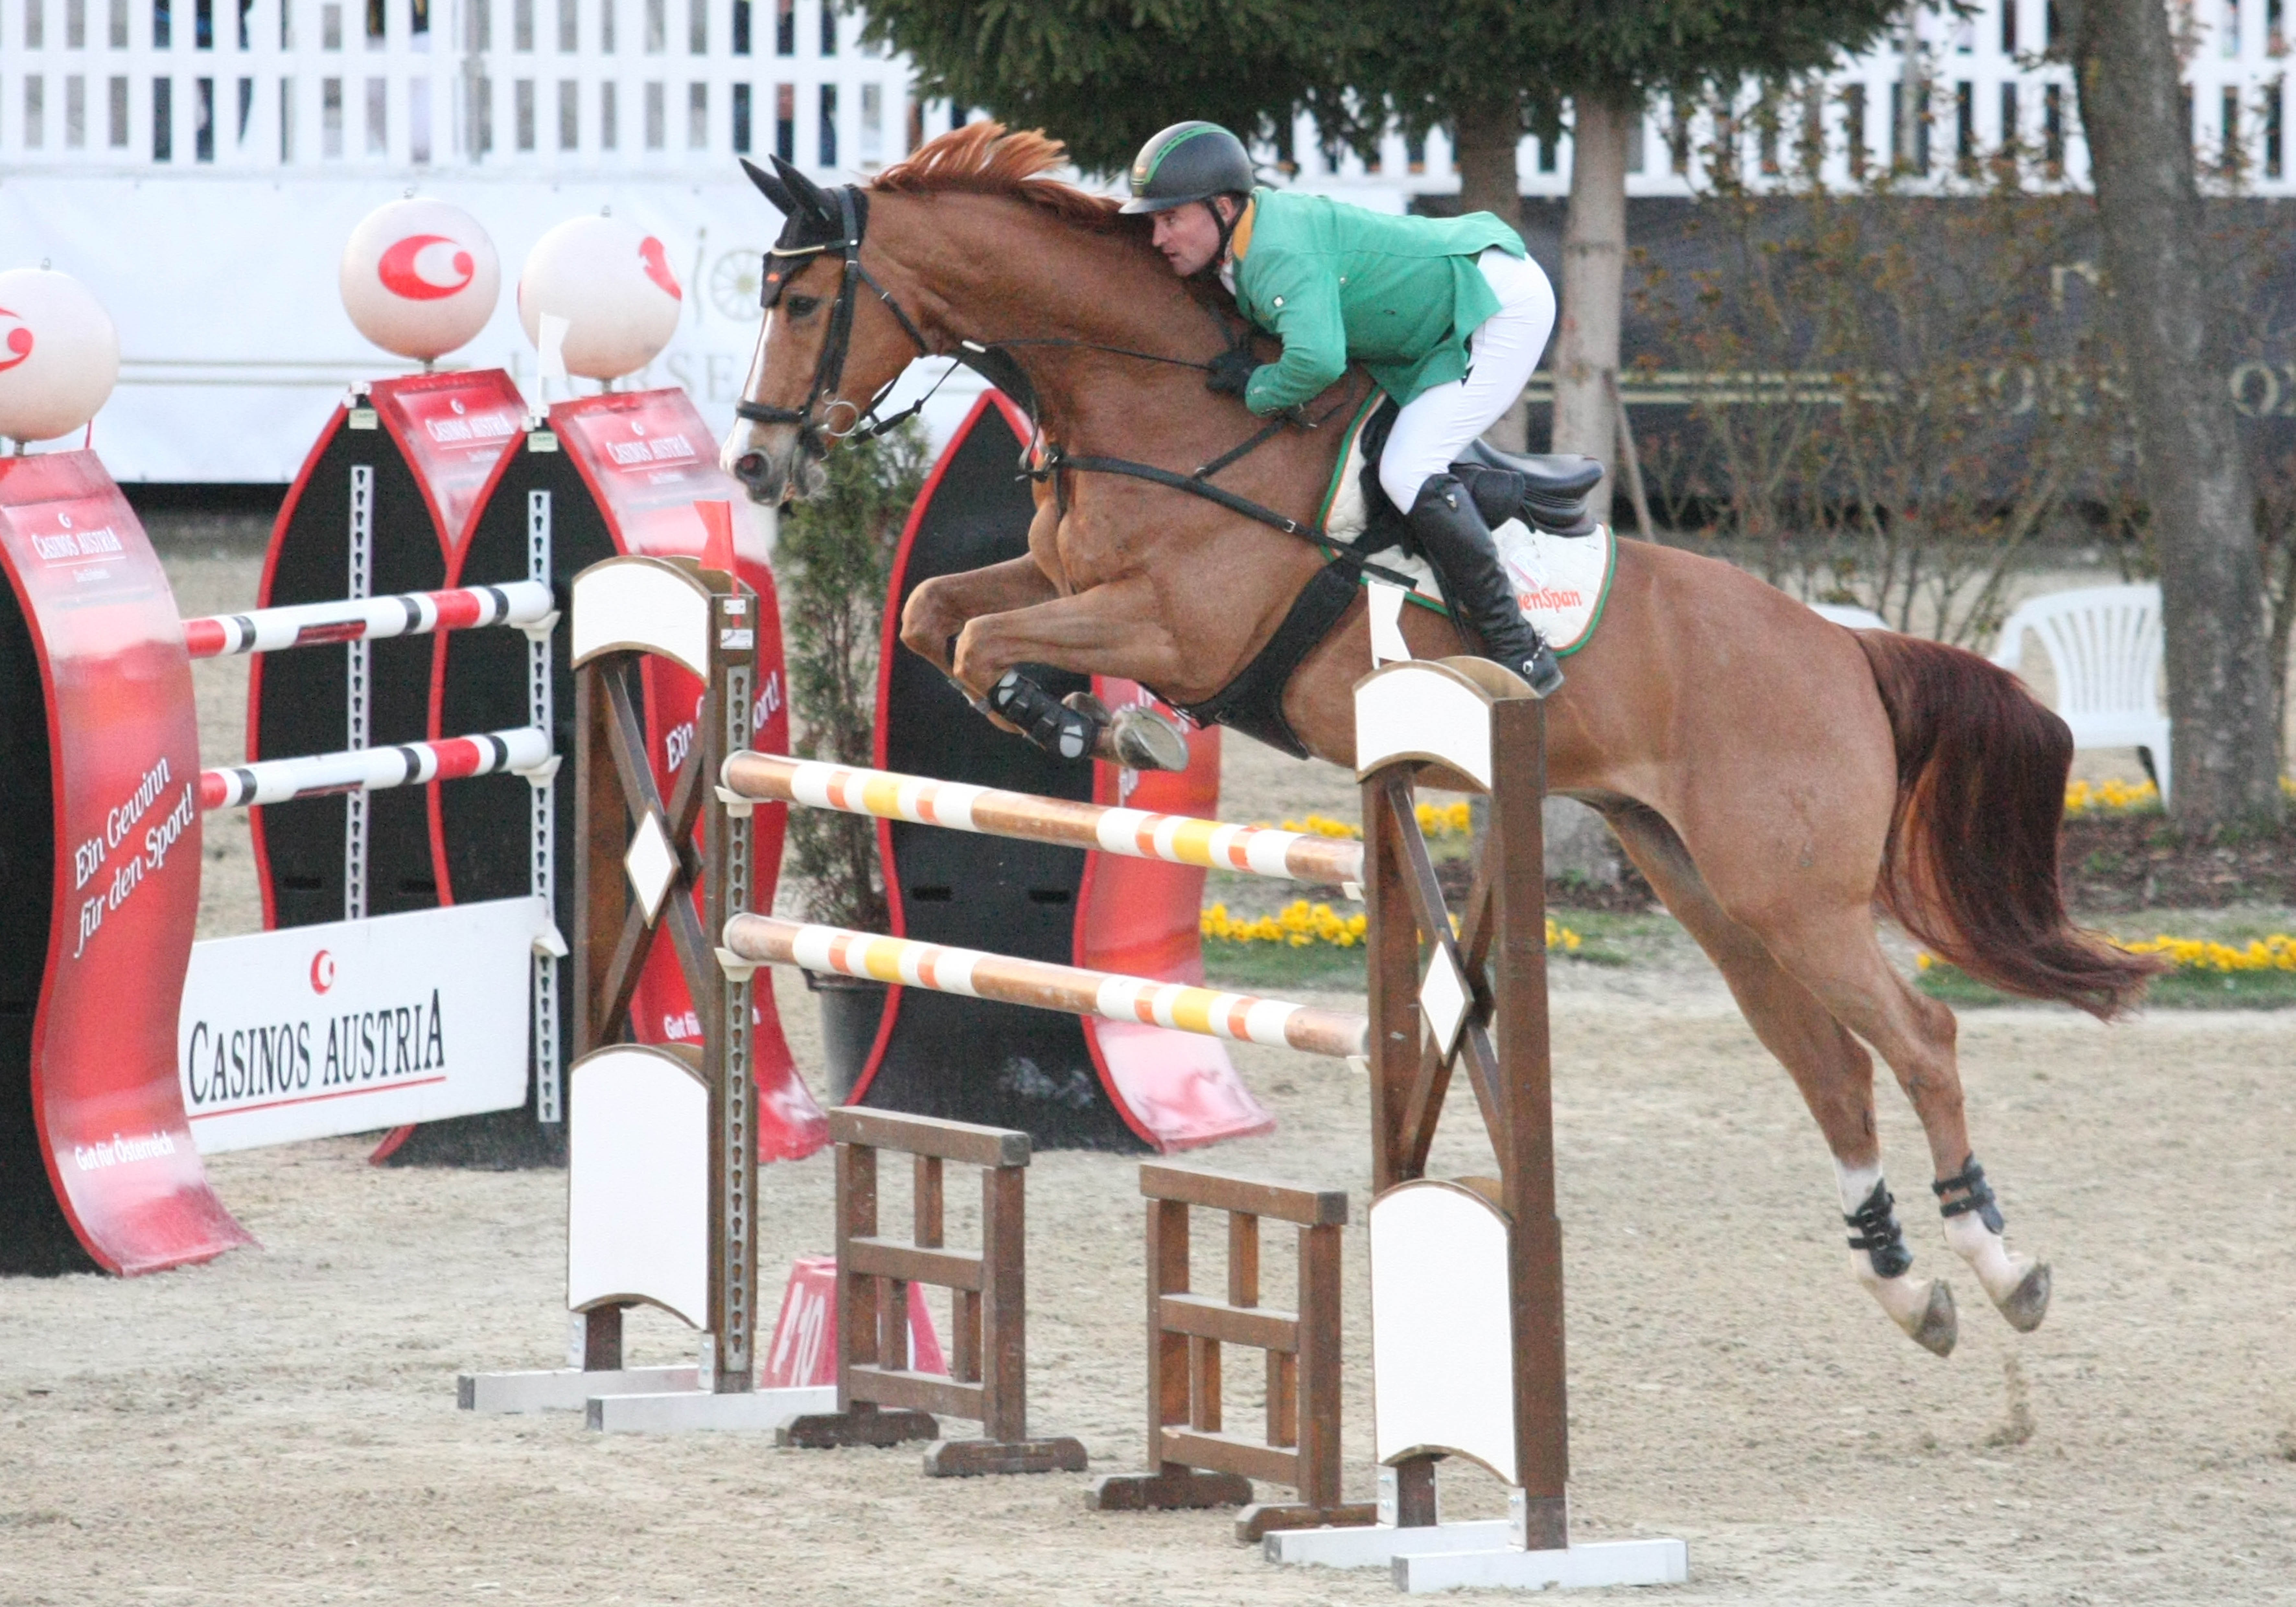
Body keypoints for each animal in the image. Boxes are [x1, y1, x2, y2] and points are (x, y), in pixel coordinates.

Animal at [716, 128, 2149, 1359]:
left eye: (806, 300)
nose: (750, 467)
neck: (1161, 407)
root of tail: (1843, 651)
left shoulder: (1176, 624)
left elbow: (974, 641)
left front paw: (1098, 717)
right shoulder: (1059, 578)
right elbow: (936, 615)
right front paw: (1072, 711)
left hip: (1791, 897)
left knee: (1920, 1040)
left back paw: (1999, 1267)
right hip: (1711, 891)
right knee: (1829, 1066)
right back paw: (1903, 1287)